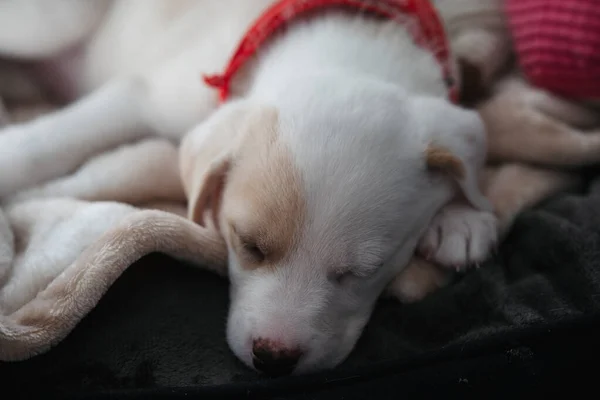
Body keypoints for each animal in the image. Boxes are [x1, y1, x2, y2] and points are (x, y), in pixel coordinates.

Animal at [0, 0, 506, 376]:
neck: (350, 45)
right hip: (56, 22)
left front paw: (463, 217)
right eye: (248, 245)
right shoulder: (146, 96)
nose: (274, 360)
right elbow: (48, 141)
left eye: (364, 271)